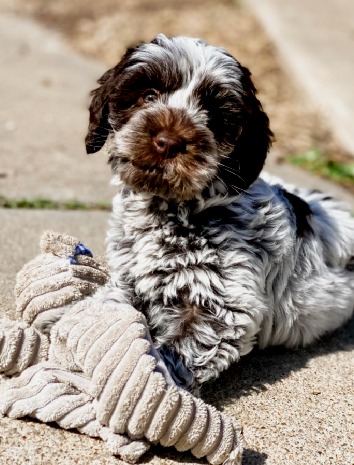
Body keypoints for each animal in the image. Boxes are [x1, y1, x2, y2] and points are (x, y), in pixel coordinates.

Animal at [85, 35, 354, 388]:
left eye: (214, 116)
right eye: (148, 95)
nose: (168, 142)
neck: (174, 210)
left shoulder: (221, 306)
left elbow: (174, 355)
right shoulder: (130, 279)